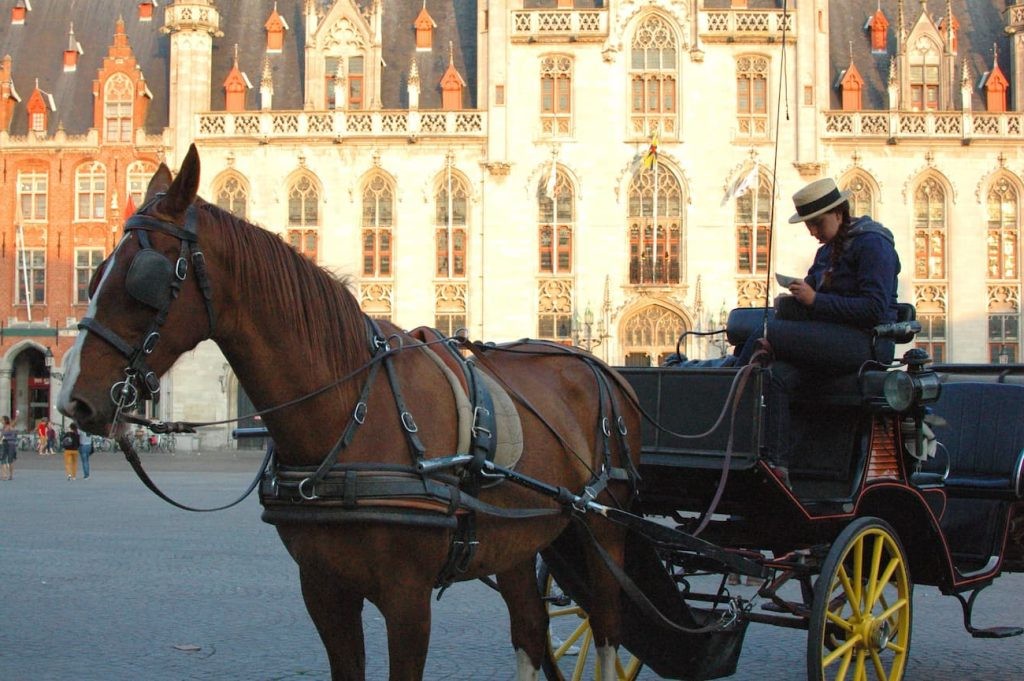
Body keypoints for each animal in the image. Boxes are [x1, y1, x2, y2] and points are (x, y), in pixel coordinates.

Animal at [58, 144, 642, 681]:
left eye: (145, 276)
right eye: (94, 273)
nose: (72, 399)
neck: (350, 413)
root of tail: (602, 368)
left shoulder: (407, 601)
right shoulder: (324, 591)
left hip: (604, 530)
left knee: (607, 629)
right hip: (521, 537)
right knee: (530, 631)